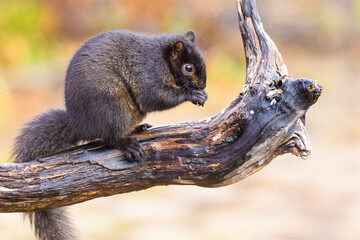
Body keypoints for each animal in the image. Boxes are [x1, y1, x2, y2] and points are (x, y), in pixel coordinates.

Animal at [12, 30, 207, 240]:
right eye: (188, 68)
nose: (203, 85)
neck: (161, 56)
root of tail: (80, 125)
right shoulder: (147, 71)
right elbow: (155, 96)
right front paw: (192, 94)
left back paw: (137, 129)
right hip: (114, 107)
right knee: (110, 138)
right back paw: (126, 144)